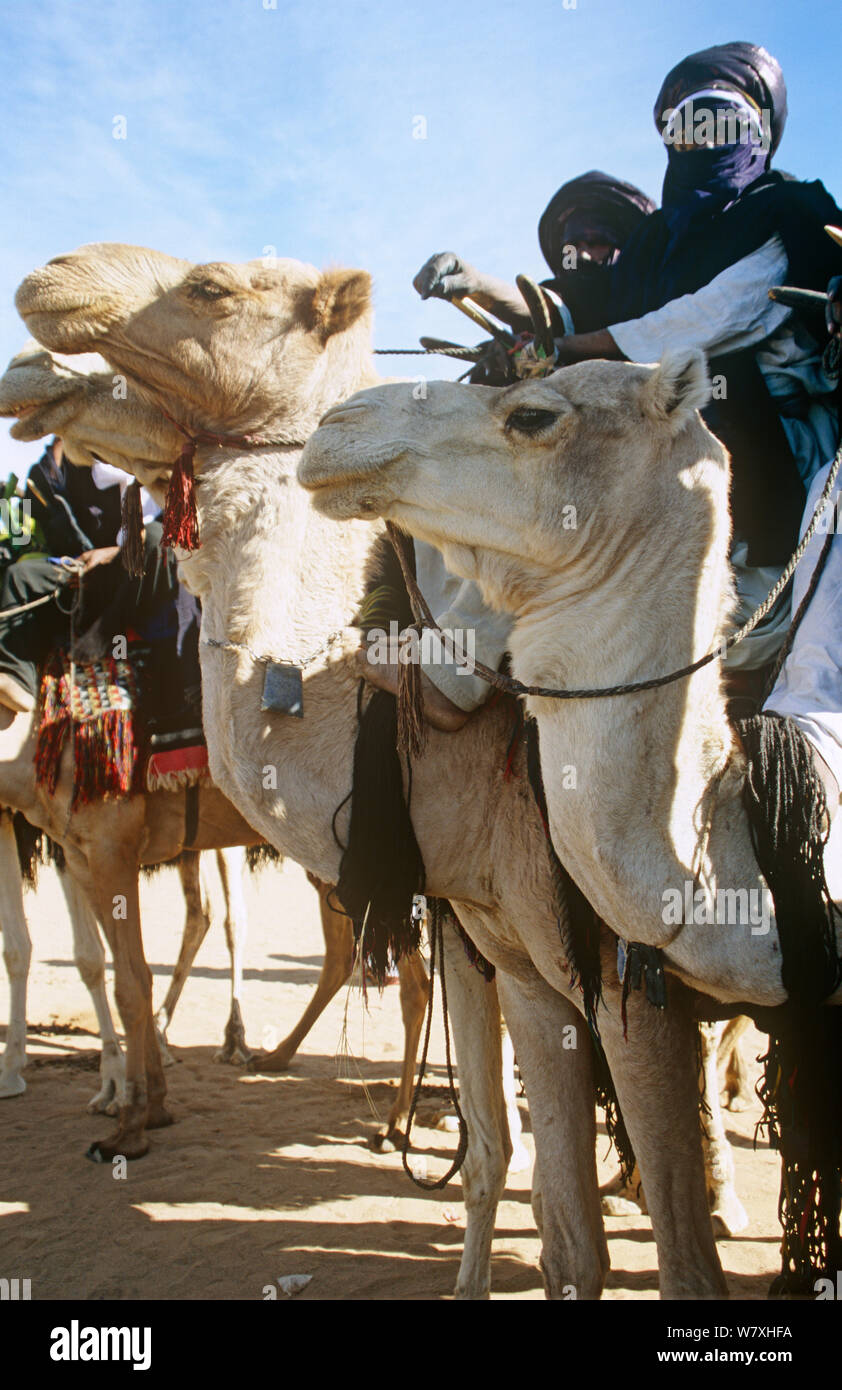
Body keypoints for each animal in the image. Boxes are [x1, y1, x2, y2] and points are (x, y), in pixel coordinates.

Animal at [9, 244, 739, 1295]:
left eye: (210, 288)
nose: (48, 290)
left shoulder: (606, 967)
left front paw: (135, 1116)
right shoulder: (483, 928)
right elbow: (505, 1158)